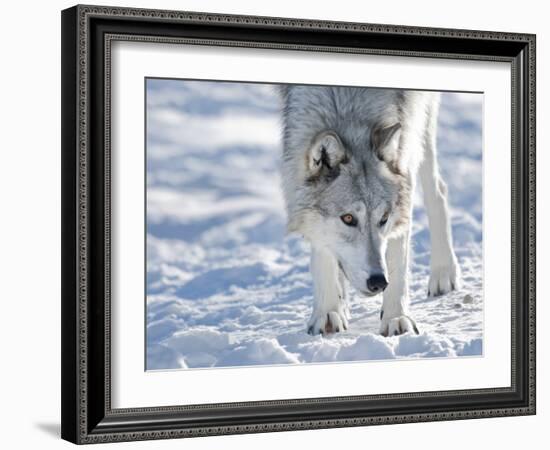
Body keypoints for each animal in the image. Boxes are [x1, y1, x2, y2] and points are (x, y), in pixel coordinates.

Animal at [280, 85, 462, 338]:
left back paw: (443, 272)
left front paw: (396, 318)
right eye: (348, 218)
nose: (378, 282)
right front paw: (327, 312)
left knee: (438, 191)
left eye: (383, 219)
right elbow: (322, 248)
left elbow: (398, 257)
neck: (348, 105)